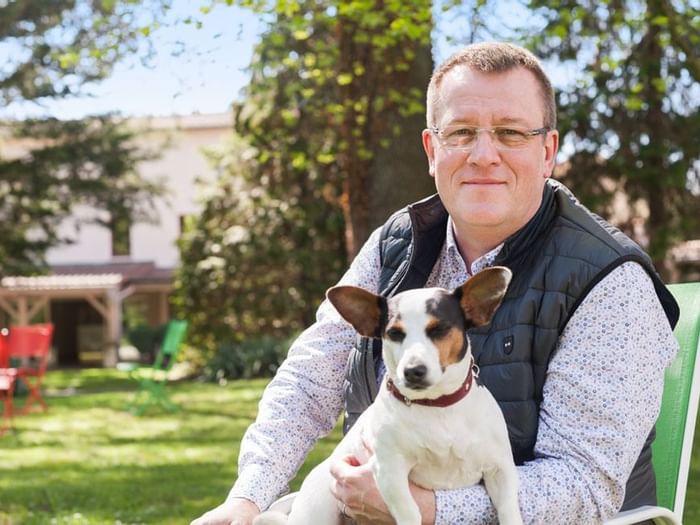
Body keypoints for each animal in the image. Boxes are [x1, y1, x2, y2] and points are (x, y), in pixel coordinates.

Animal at [254, 266, 524, 524]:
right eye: (394, 333)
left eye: (439, 329)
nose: (413, 371)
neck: (437, 406)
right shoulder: (390, 470)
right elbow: (409, 512)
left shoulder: (500, 469)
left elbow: (509, 509)